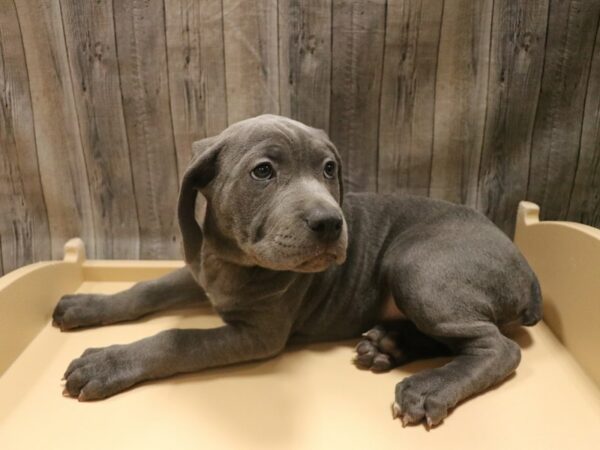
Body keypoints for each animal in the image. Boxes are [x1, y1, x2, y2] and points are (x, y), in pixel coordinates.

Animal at [55, 114, 544, 428]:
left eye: (329, 169)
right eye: (263, 172)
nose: (331, 223)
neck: (233, 260)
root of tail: (527, 267)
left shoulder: (258, 334)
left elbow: (178, 338)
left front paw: (107, 362)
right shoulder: (199, 272)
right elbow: (146, 289)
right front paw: (85, 305)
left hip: (415, 265)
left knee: (496, 347)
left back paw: (431, 387)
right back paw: (388, 344)